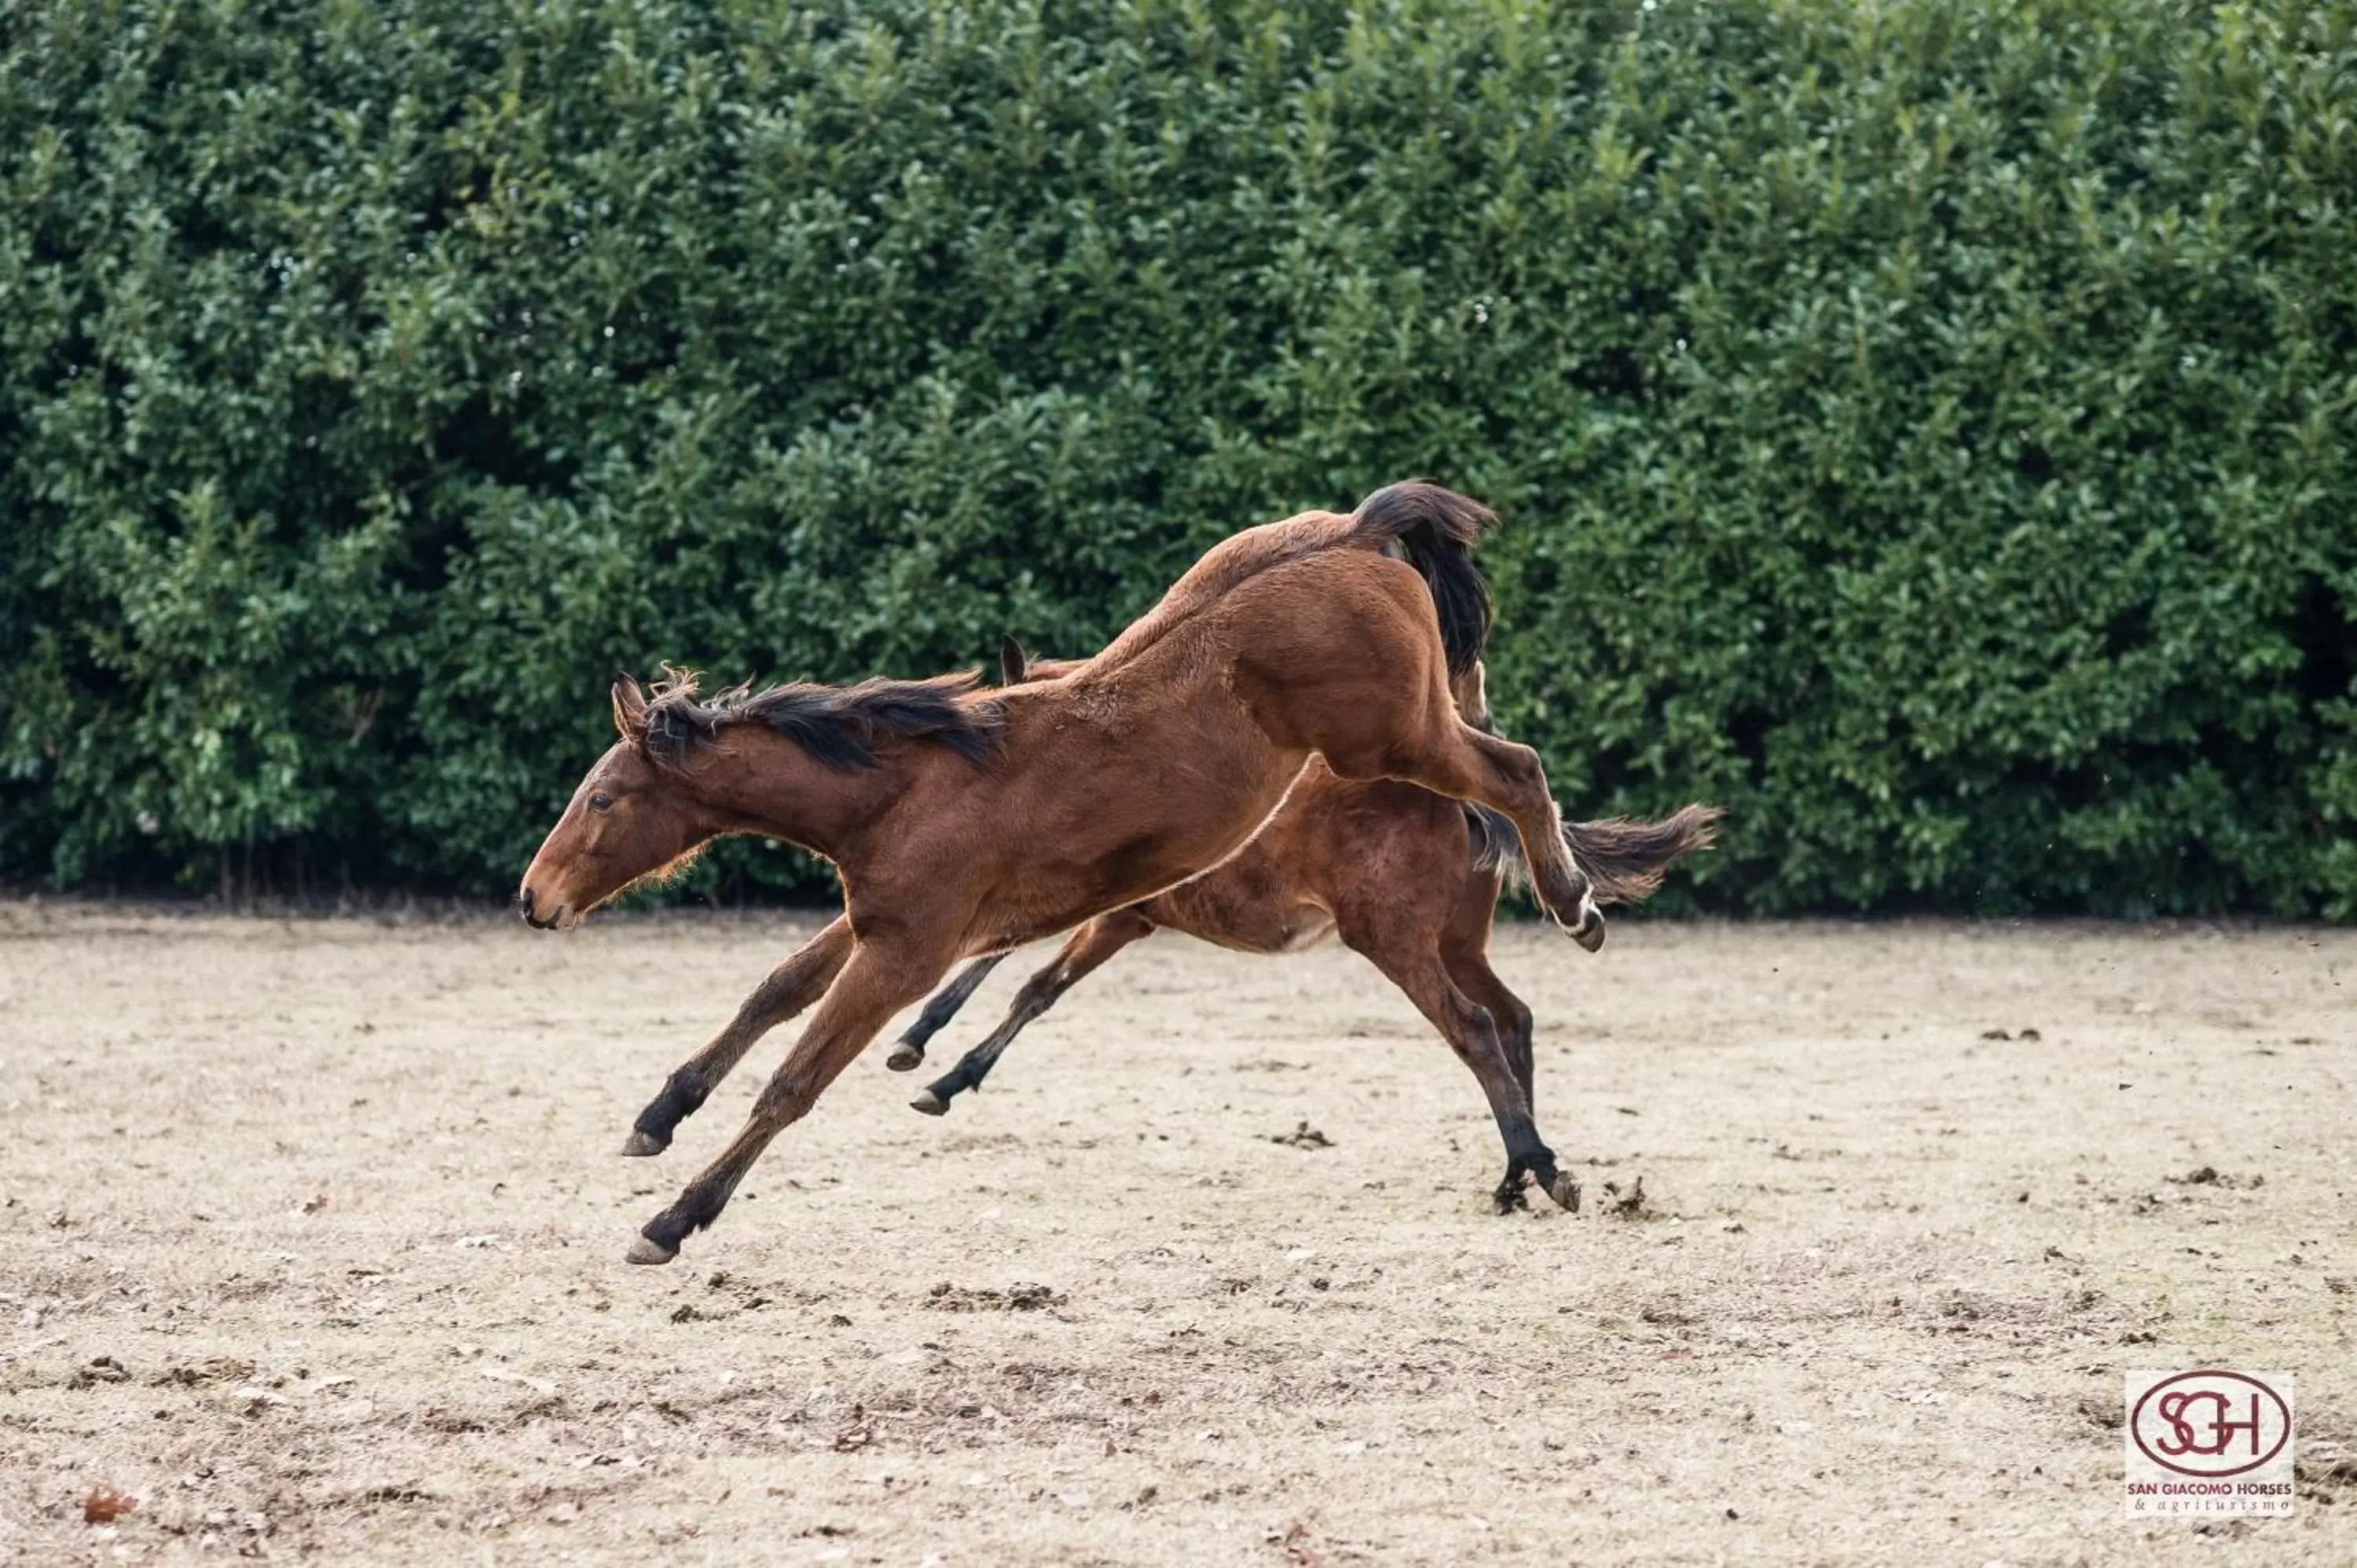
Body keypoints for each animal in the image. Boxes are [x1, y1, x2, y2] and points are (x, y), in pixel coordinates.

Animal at [526, 476, 1612, 1263]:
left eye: (601, 799)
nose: (536, 898)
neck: (904, 784)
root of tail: (1352, 529)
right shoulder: (886, 921)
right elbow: (776, 990)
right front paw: (657, 1116)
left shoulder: (907, 952)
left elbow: (795, 1080)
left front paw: (672, 1221)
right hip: (1407, 739)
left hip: (1393, 740)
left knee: (1515, 783)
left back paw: (1568, 957)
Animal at [891, 636, 1725, 1207]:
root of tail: (1454, 796)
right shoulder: (1114, 917)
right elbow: (1022, 980)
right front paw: (926, 1054)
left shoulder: (1118, 915)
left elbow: (1018, 977)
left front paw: (934, 1065)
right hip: (1455, 941)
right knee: (1514, 1016)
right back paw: (1514, 1179)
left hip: (1391, 939)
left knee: (1474, 1027)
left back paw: (1538, 1167)